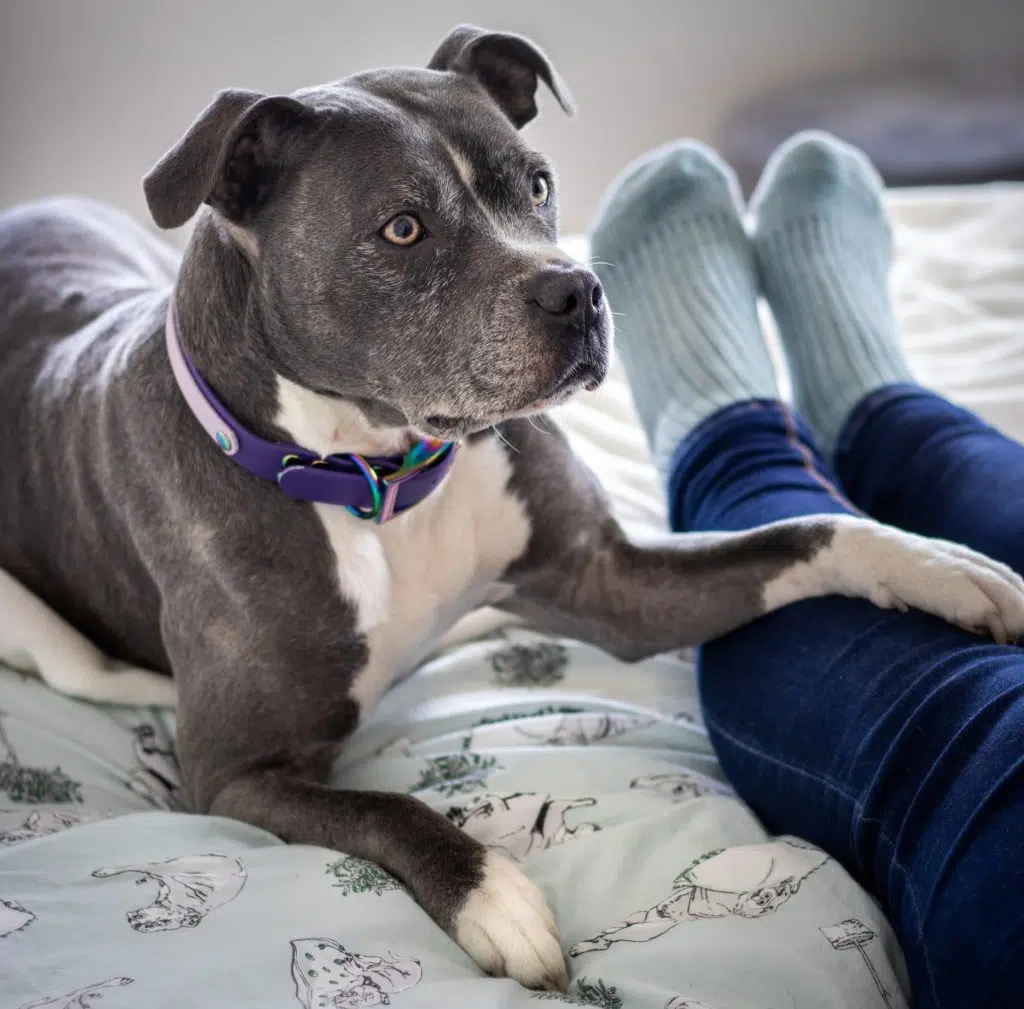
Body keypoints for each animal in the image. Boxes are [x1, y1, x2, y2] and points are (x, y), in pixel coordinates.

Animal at [2, 25, 1024, 991]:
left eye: (536, 184)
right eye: (402, 228)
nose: (580, 290)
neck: (379, 476)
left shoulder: (608, 581)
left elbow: (803, 533)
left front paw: (943, 566)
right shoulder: (231, 773)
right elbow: (385, 806)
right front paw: (495, 896)